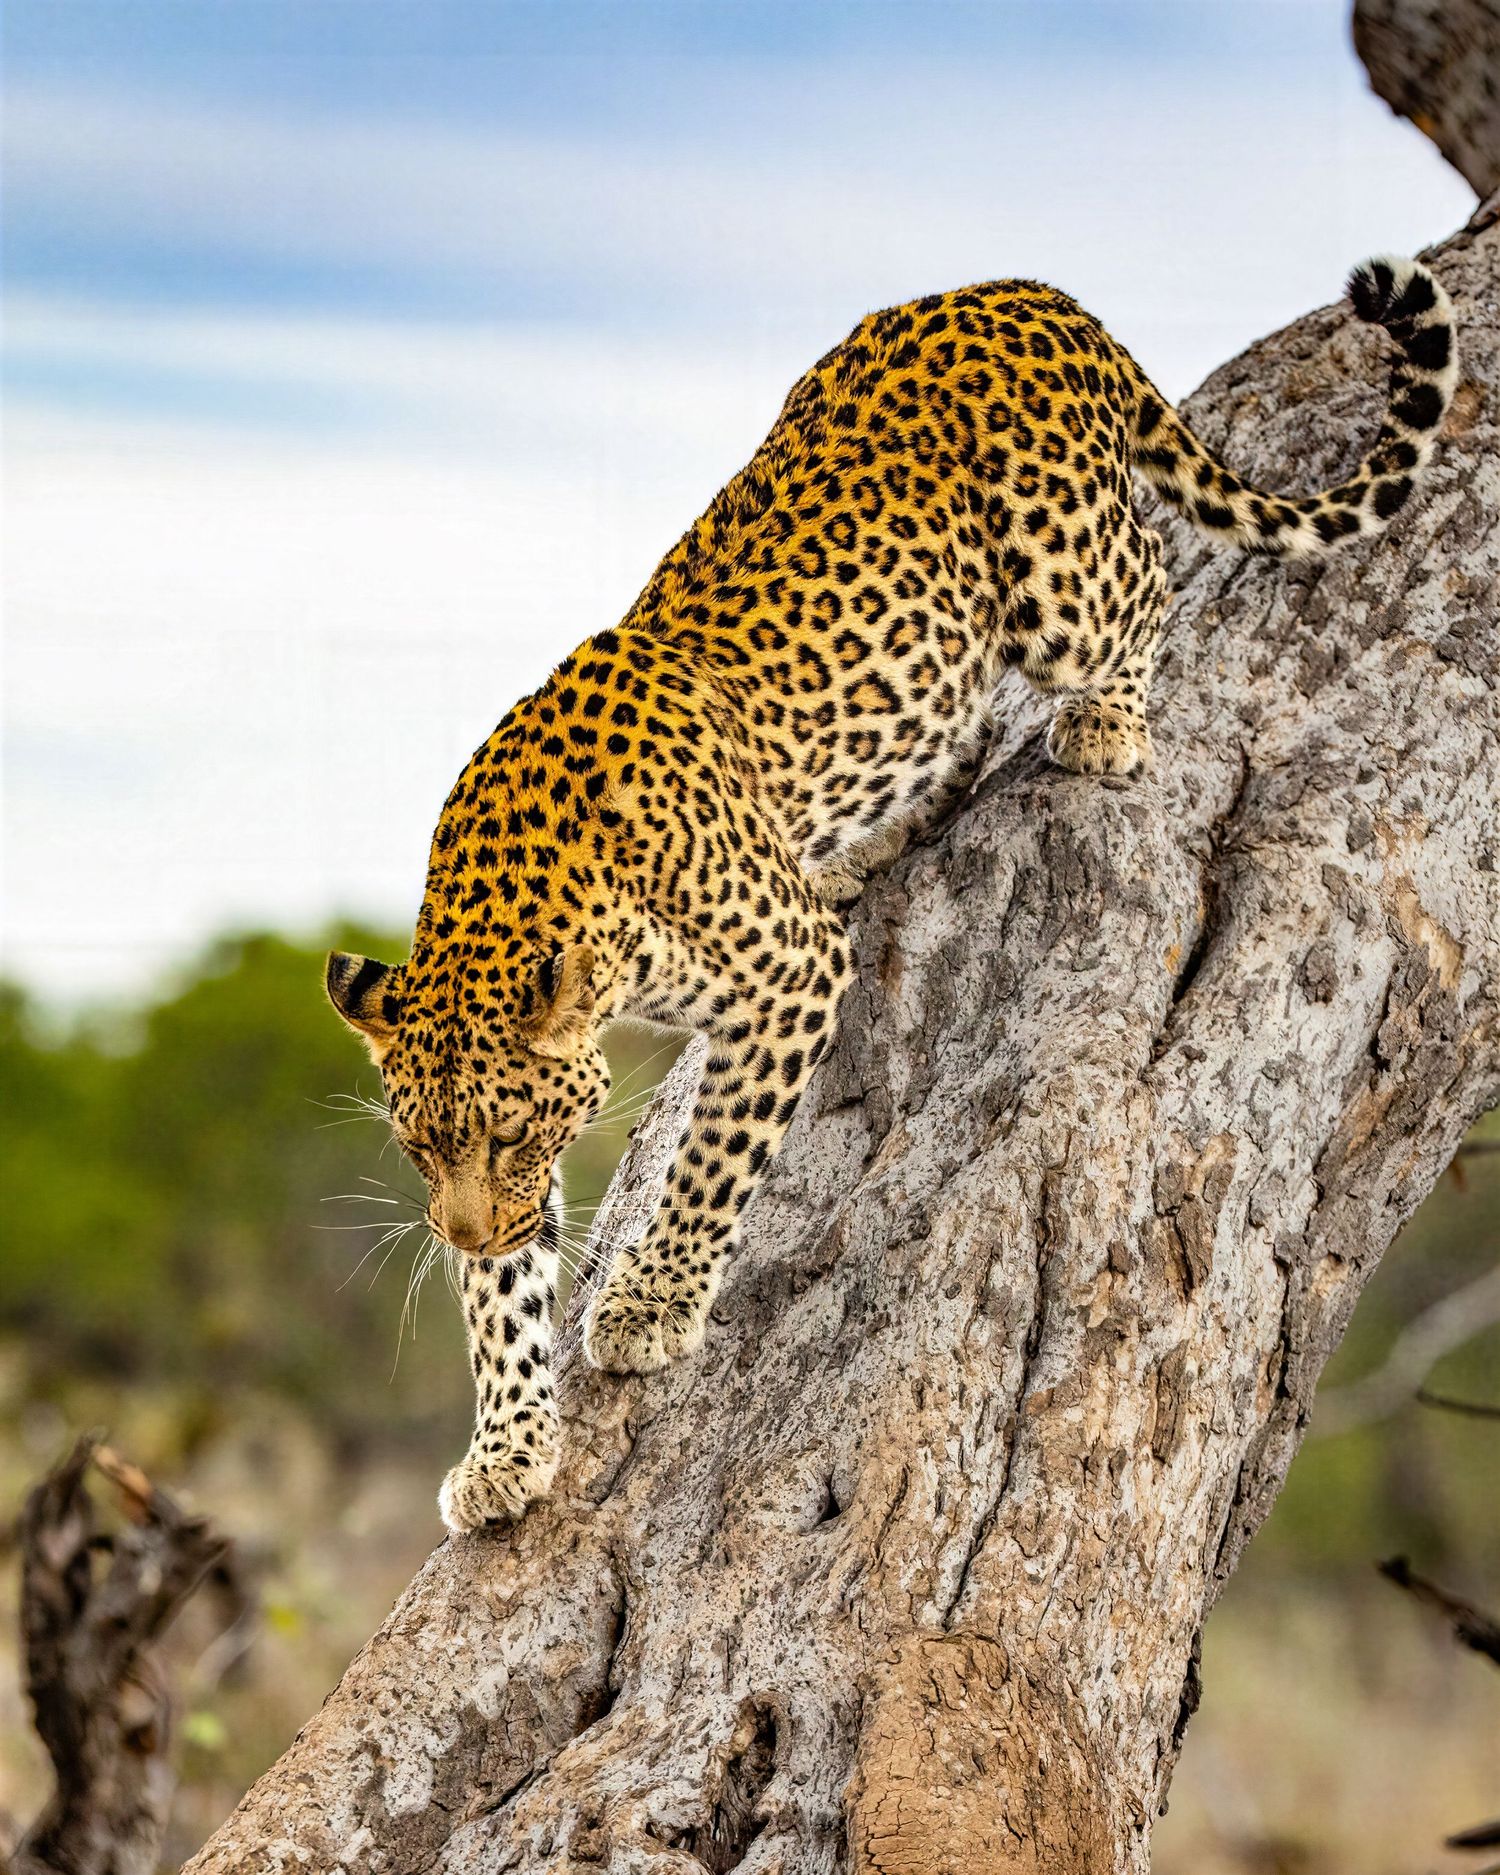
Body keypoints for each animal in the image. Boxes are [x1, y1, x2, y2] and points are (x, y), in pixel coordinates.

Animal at [327, 255, 1456, 1532]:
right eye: (419, 1149)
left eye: (509, 1133)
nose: (464, 1231)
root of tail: (1026, 290)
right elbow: (505, 1307)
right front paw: (508, 1446)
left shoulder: (785, 980)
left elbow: (712, 1160)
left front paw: (650, 1305)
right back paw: (866, 840)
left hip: (1056, 576)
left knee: (1149, 575)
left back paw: (1106, 723)